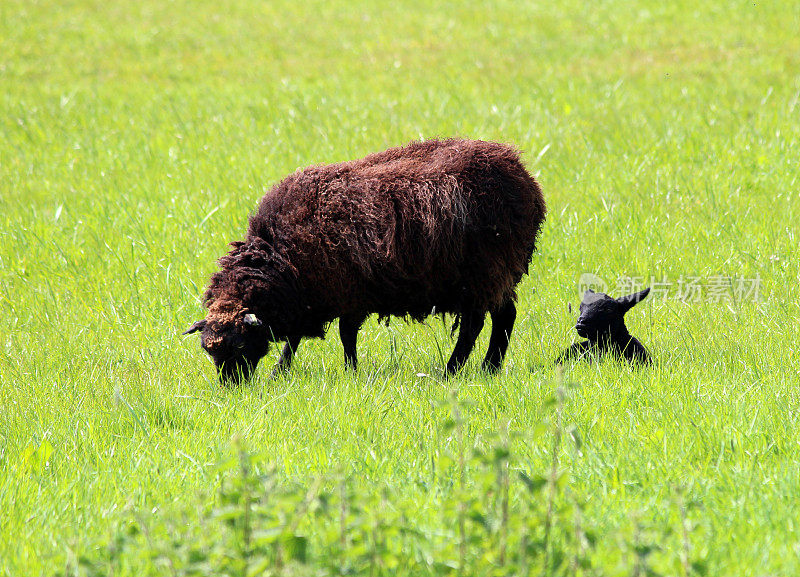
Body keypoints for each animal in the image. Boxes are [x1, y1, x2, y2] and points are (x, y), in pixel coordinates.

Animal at [184, 138, 548, 382]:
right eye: (210, 351)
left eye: (240, 348)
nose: (232, 388)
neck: (283, 261)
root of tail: (523, 177)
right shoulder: (313, 298)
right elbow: (297, 339)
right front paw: (284, 373)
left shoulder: (347, 292)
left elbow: (342, 336)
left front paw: (348, 371)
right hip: (494, 276)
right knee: (504, 316)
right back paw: (490, 368)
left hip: (484, 273)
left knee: (477, 325)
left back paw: (453, 371)